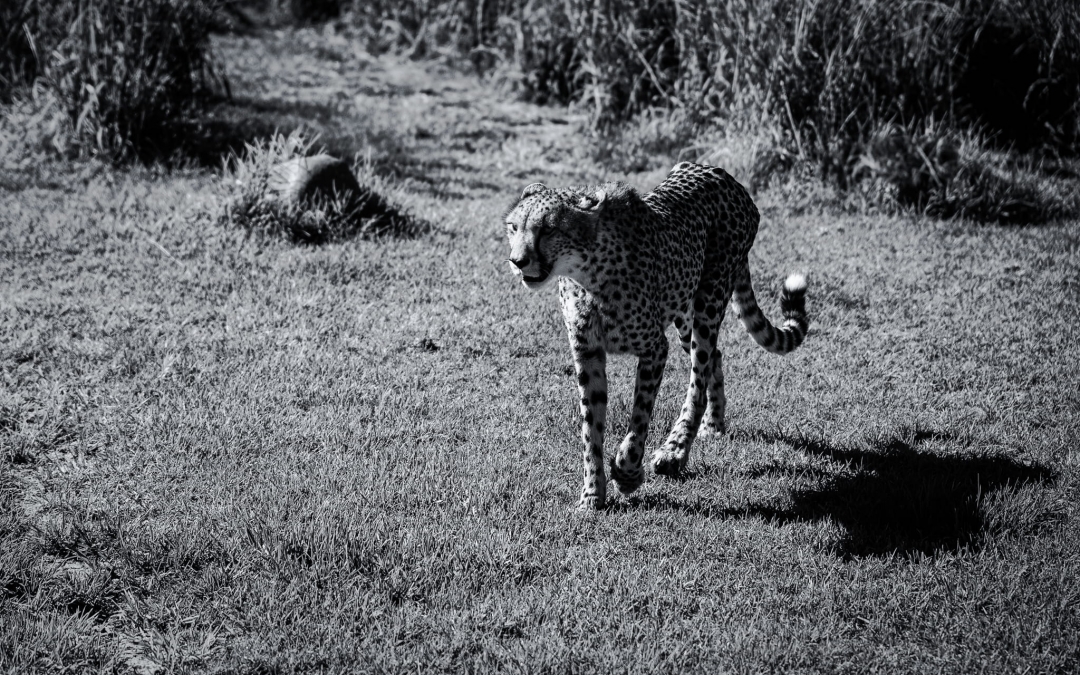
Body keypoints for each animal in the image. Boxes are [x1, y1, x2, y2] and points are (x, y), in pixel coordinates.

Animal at [501, 162, 807, 509]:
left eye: (548, 229)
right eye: (513, 227)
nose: (517, 261)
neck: (587, 273)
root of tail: (720, 172)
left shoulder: (654, 348)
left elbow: (639, 415)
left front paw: (627, 472)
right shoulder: (587, 352)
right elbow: (591, 426)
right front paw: (592, 494)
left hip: (707, 303)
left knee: (698, 376)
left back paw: (674, 452)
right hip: (685, 316)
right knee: (714, 358)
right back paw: (713, 424)